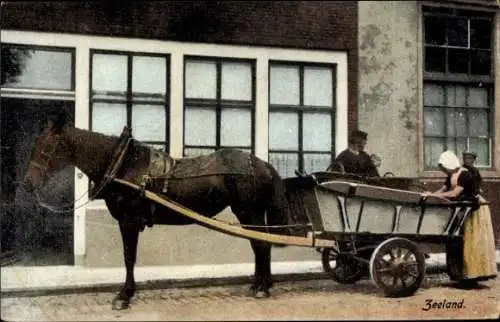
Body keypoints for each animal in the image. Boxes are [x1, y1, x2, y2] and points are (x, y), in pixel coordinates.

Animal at [23, 110, 290, 310]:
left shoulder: (128, 221)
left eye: (46, 146)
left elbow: (129, 257)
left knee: (261, 245)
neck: (122, 165)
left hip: (249, 211)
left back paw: (262, 288)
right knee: (260, 244)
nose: (27, 183)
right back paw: (260, 284)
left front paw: (124, 296)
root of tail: (262, 163)